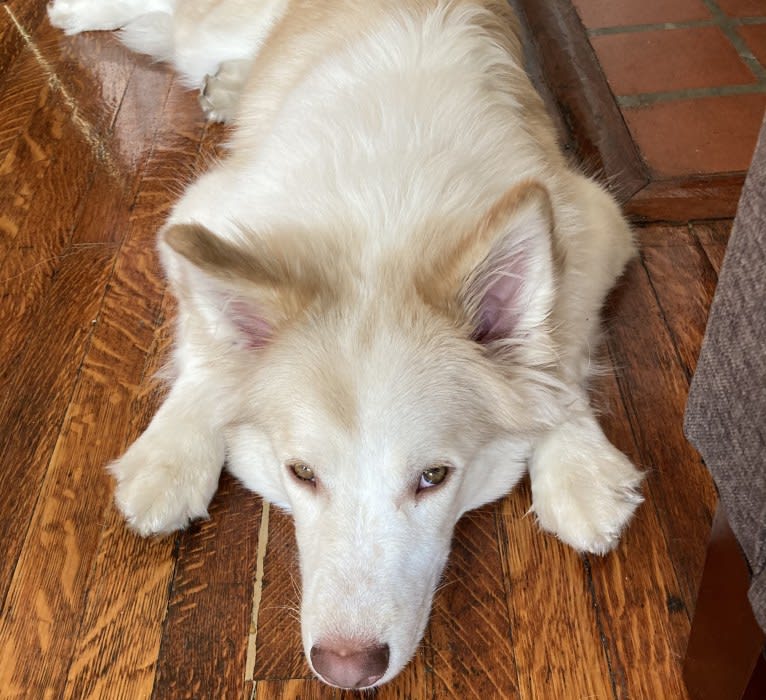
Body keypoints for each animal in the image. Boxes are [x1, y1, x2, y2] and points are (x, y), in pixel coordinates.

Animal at [51, 0, 644, 688]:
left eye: (434, 478)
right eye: (301, 474)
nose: (346, 669)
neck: (384, 226)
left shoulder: (599, 225)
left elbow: (562, 347)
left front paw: (578, 464)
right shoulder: (199, 213)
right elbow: (206, 347)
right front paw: (172, 454)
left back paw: (227, 86)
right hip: (204, 34)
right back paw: (75, 17)